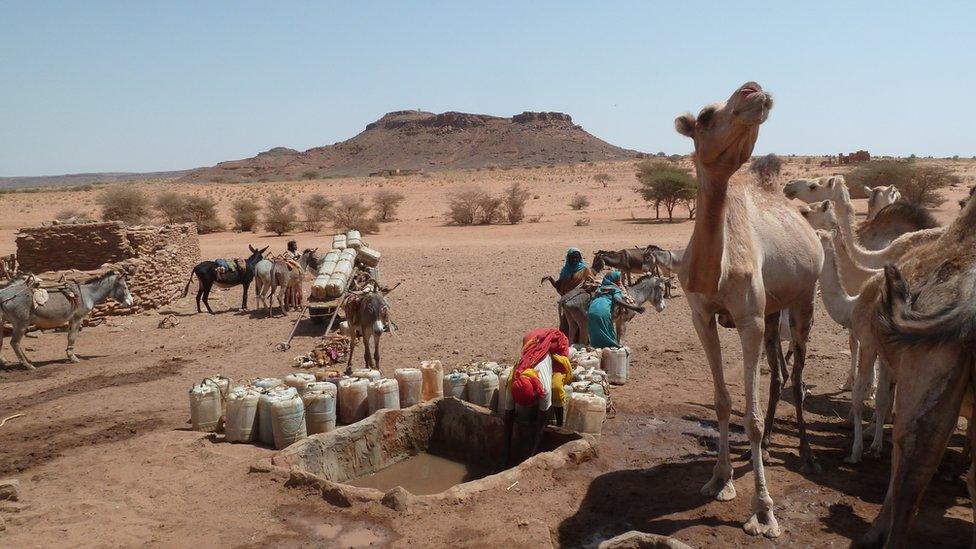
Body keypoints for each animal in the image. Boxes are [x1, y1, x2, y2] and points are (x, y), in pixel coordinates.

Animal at [672, 81, 824, 536]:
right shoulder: (701, 316)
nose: (752, 91)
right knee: (779, 374)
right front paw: (720, 480)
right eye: (705, 116)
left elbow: (750, 418)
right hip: (774, 311)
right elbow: (723, 401)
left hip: (804, 299)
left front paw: (763, 511)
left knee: (796, 378)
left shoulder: (748, 319)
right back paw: (772, 444)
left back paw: (806, 454)